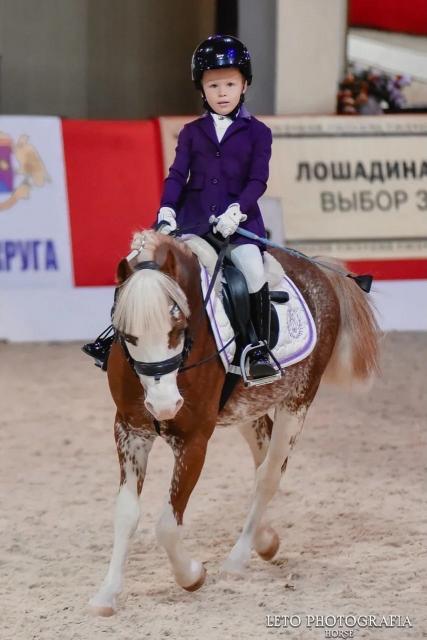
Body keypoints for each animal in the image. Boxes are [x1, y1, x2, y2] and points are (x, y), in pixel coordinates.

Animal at [89, 229, 380, 616]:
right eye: (128, 334)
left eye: (178, 326)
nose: (164, 405)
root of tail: (315, 268)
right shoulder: (130, 430)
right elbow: (126, 513)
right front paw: (106, 595)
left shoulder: (194, 440)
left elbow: (167, 525)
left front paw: (192, 575)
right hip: (246, 409)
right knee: (263, 460)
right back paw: (265, 540)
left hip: (298, 401)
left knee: (269, 475)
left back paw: (239, 557)